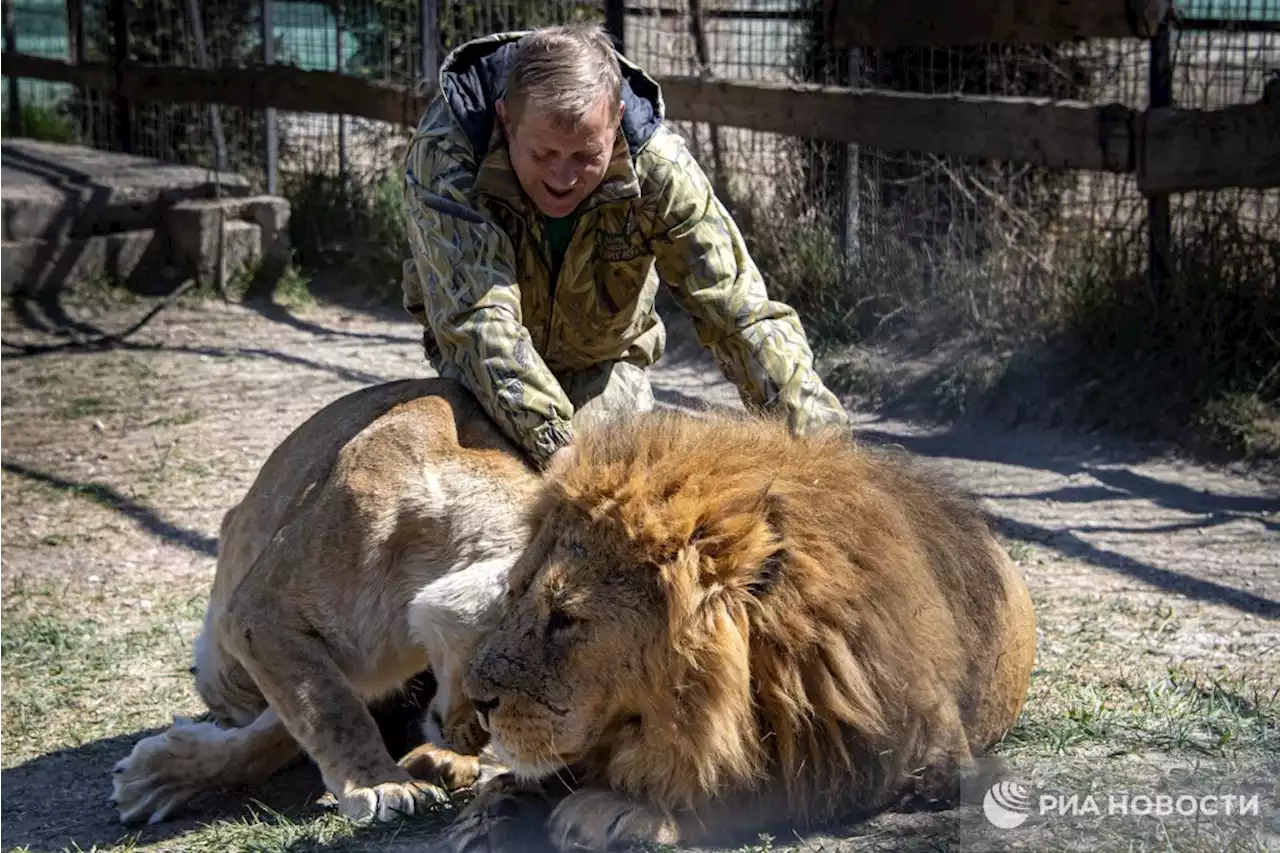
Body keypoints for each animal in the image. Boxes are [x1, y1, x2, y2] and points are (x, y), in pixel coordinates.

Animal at [111, 376, 545, 824]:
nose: (469, 742)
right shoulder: (261, 616)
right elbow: (329, 710)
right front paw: (381, 784)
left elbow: (290, 728)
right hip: (221, 669)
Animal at [448, 404, 1039, 850]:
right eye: (515, 593)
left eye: (564, 618)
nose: (477, 701)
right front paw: (498, 804)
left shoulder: (911, 757)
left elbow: (749, 791)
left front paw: (618, 809)